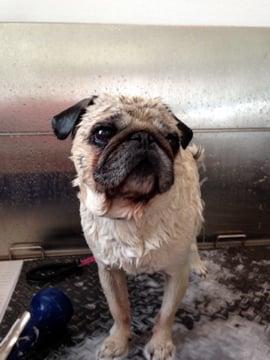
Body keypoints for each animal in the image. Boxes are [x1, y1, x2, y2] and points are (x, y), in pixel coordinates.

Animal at [51, 95, 206, 360]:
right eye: (102, 132)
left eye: (172, 139)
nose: (144, 137)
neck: (132, 213)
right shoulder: (109, 271)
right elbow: (119, 311)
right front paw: (118, 342)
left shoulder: (177, 274)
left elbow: (165, 315)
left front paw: (160, 345)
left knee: (193, 243)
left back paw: (197, 263)